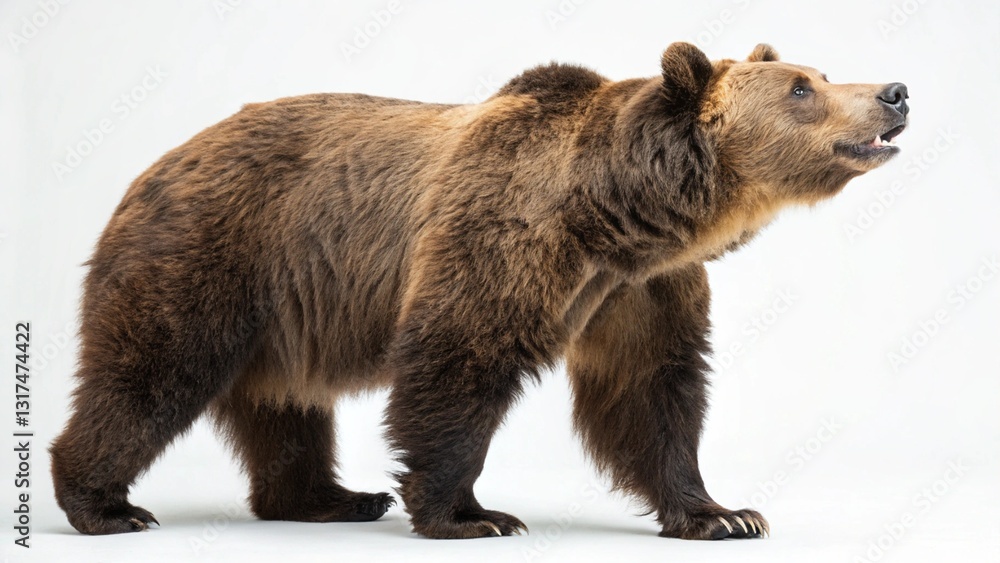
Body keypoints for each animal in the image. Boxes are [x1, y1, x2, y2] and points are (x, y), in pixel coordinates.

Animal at [50, 42, 908, 540]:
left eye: (820, 73)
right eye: (802, 88)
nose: (895, 91)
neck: (621, 213)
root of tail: (157, 162)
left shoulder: (641, 288)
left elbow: (653, 389)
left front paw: (722, 513)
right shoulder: (508, 233)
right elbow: (460, 356)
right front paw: (472, 513)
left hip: (285, 306)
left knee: (286, 402)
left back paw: (329, 496)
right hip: (214, 252)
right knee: (150, 371)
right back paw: (104, 502)